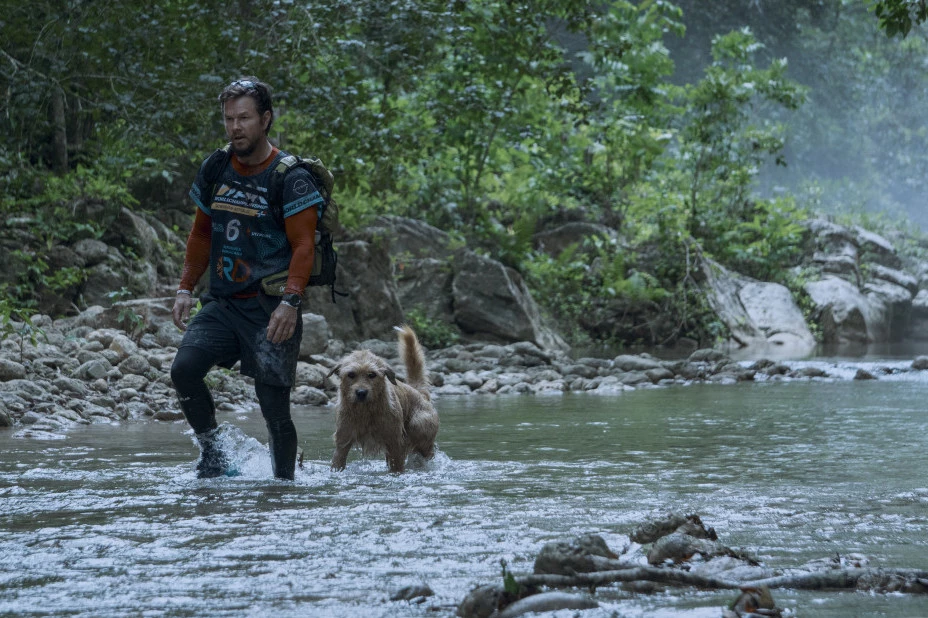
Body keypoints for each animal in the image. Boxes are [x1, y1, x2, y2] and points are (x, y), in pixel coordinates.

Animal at [328, 326, 439, 473]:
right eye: (351, 374)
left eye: (372, 374)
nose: (361, 393)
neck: (365, 411)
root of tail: (419, 392)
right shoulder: (343, 441)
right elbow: (338, 461)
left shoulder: (394, 442)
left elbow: (397, 466)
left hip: (419, 428)